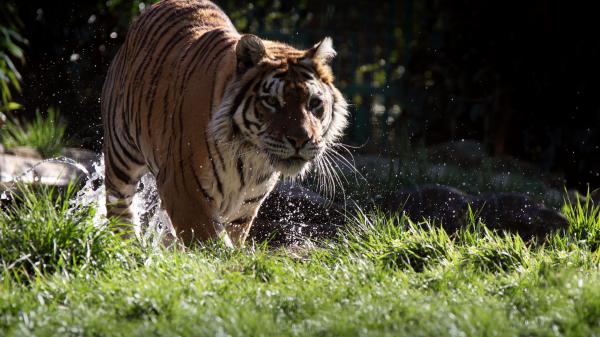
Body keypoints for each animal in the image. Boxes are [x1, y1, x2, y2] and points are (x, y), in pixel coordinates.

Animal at [101, 0, 350, 247]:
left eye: (314, 103)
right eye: (271, 101)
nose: (300, 140)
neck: (250, 157)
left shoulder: (246, 206)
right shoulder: (183, 189)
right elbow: (215, 245)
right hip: (121, 155)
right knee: (119, 206)